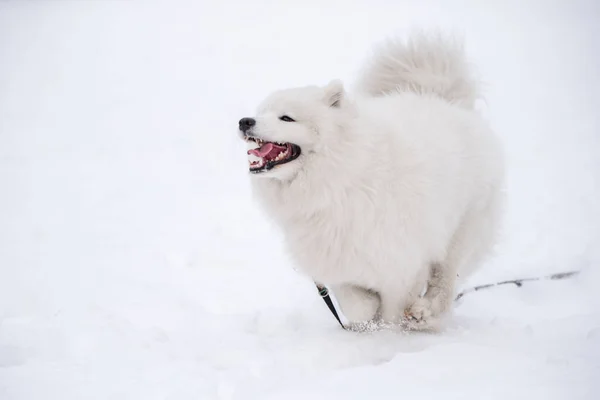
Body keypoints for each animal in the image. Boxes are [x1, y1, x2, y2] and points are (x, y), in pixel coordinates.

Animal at [237, 32, 504, 330]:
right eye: (262, 112)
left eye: (286, 117)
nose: (245, 121)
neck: (339, 181)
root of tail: (441, 98)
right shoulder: (331, 256)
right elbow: (357, 305)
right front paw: (365, 321)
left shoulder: (403, 262)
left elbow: (393, 309)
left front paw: (387, 331)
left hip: (462, 232)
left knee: (445, 282)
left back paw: (424, 314)